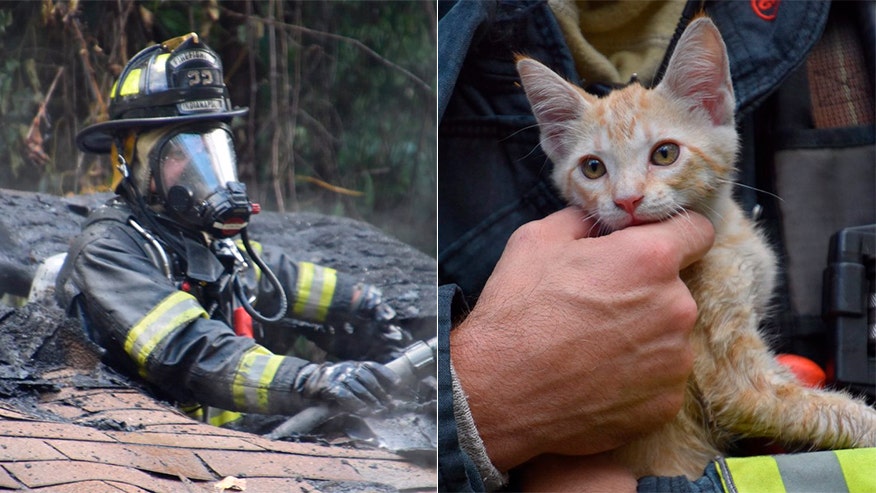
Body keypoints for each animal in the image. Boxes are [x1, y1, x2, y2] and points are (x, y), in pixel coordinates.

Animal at [516, 17, 872, 478]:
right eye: (593, 168)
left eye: (665, 154)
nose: (626, 200)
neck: (725, 232)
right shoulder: (737, 385)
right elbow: (817, 408)